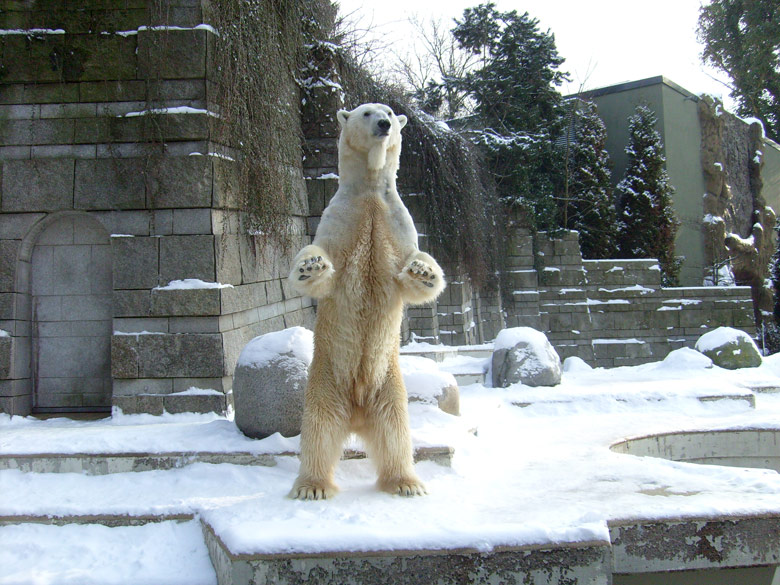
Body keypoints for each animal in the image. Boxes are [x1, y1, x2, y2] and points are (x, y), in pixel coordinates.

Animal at [286, 104, 444, 498]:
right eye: (366, 112)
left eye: (388, 112)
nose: (385, 124)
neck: (370, 190)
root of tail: (356, 413)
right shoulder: (340, 218)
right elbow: (324, 267)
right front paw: (311, 265)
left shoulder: (397, 221)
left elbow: (412, 269)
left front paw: (423, 270)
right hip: (324, 384)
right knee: (319, 433)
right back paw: (312, 486)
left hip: (389, 386)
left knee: (395, 432)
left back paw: (405, 482)